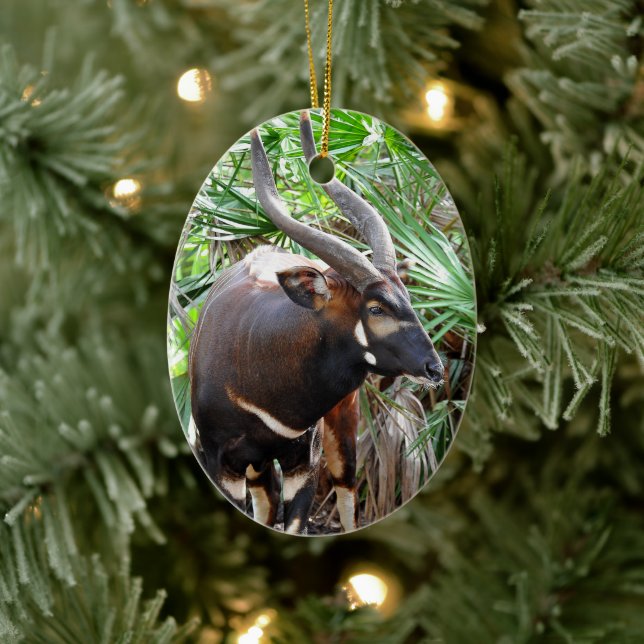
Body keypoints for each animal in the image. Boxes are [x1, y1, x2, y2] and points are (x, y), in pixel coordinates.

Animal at [188, 110, 444, 534]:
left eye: (406, 298)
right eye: (376, 308)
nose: (435, 369)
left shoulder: (302, 462)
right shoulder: (221, 463)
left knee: (345, 487)